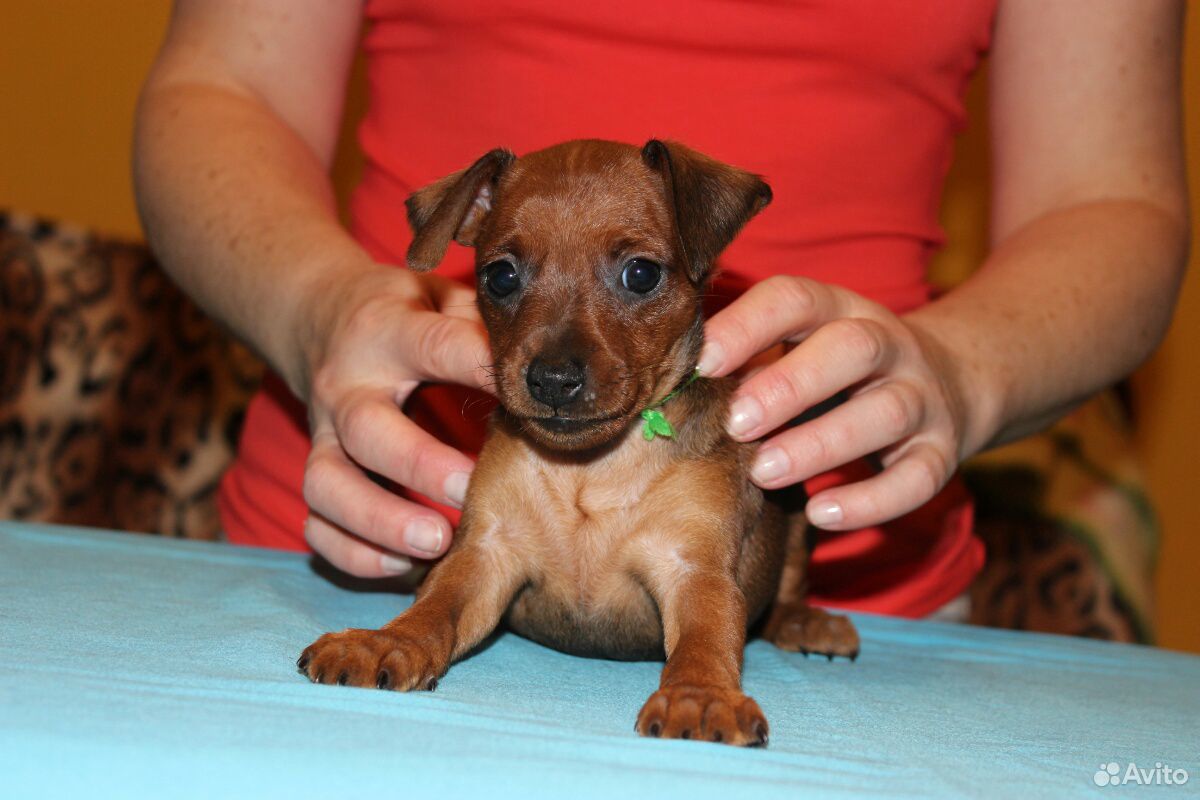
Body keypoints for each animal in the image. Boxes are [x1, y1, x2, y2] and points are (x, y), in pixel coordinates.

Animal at [300, 140, 864, 748]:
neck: (591, 471)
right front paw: (387, 641)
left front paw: (700, 695)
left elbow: (705, 641)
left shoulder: (696, 570)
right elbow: (436, 606)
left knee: (788, 585)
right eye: (501, 276)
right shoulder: (486, 552)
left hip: (797, 508)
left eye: (641, 274)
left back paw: (807, 621)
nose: (551, 380)